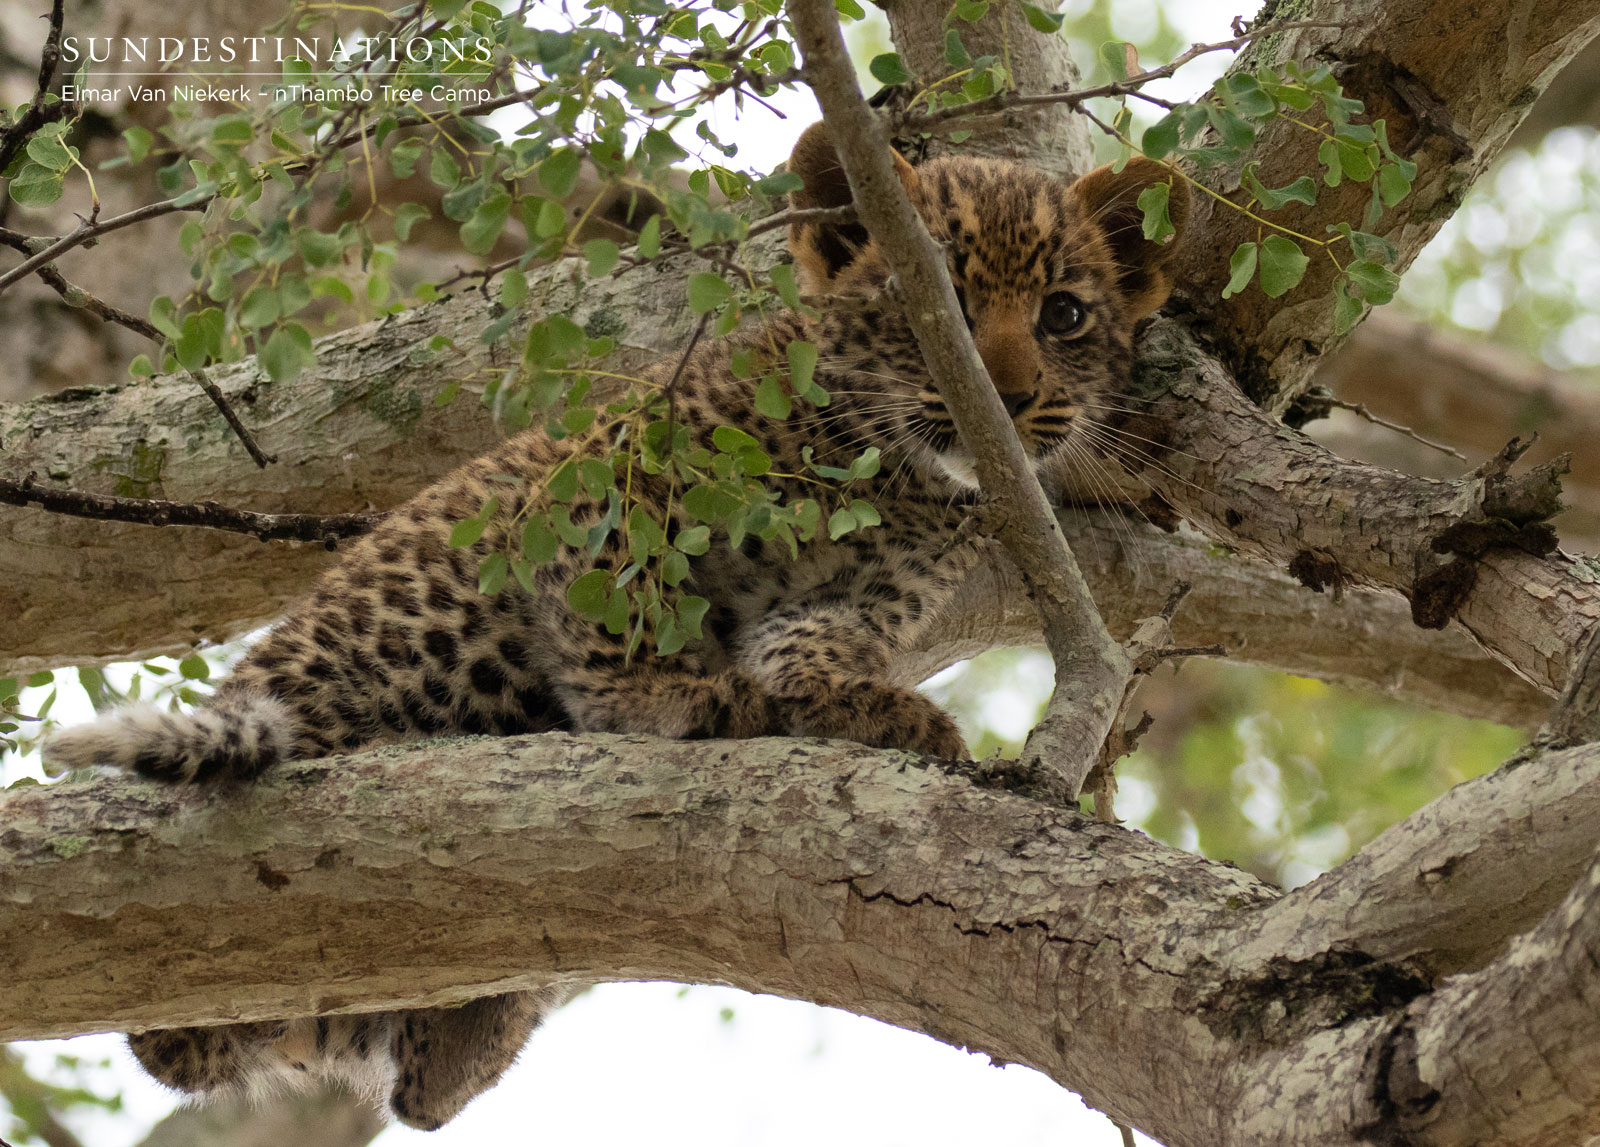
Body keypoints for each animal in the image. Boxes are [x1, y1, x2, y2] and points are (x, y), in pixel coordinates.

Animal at [44, 121, 1190, 1130]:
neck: (888, 475)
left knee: (413, 1089)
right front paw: (668, 695)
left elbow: (814, 646)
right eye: (934, 297)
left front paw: (870, 709)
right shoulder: (612, 480)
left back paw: (469, 1030)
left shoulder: (868, 590)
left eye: (1065, 315)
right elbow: (613, 608)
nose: (1008, 396)